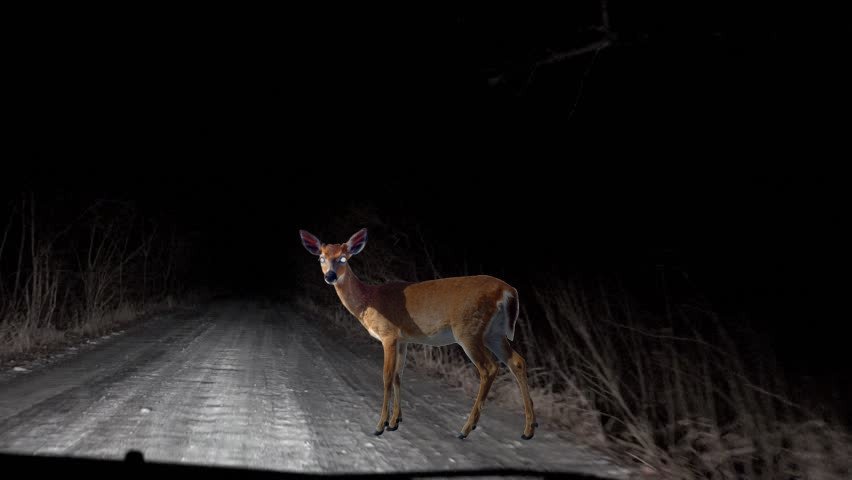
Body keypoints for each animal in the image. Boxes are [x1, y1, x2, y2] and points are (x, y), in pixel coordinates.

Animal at [299, 228, 537, 440]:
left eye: (343, 258)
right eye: (321, 258)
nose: (330, 276)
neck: (369, 300)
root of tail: (508, 290)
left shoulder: (389, 334)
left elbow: (386, 377)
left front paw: (380, 425)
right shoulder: (403, 339)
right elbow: (398, 375)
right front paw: (395, 421)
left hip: (468, 330)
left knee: (489, 368)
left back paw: (466, 429)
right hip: (494, 332)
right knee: (517, 361)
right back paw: (528, 429)